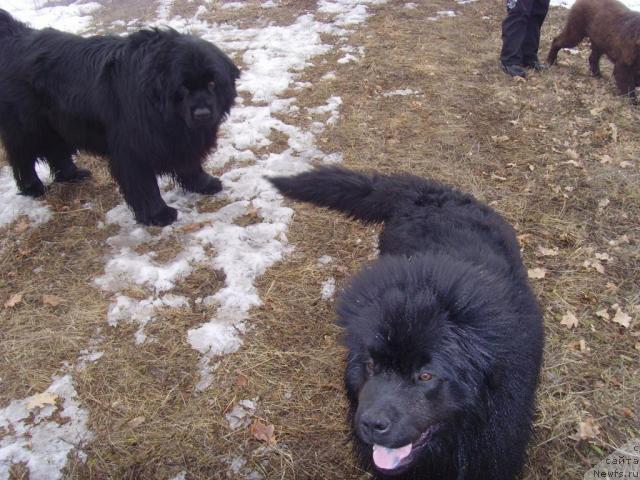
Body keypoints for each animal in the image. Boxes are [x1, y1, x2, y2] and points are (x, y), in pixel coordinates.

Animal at [0, 9, 239, 227]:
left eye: (212, 83)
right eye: (183, 87)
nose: (202, 114)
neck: (157, 103)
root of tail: (16, 36)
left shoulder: (178, 138)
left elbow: (189, 163)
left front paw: (203, 183)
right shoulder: (132, 150)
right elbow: (145, 185)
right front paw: (158, 214)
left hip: (58, 124)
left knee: (56, 151)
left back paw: (72, 174)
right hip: (28, 127)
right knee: (22, 158)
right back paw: (33, 187)